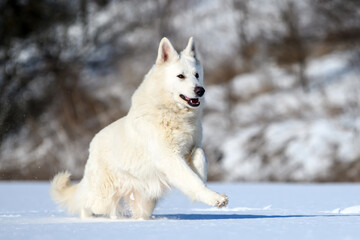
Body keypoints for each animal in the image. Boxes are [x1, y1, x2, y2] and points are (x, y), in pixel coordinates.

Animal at [50, 37, 228, 219]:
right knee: (85, 203)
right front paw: (214, 198)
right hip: (102, 197)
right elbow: (192, 181)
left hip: (145, 202)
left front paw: (202, 175)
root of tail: (92, 146)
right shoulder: (170, 157)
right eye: (180, 76)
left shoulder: (192, 147)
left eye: (197, 75)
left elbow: (200, 156)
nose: (201, 90)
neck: (170, 112)